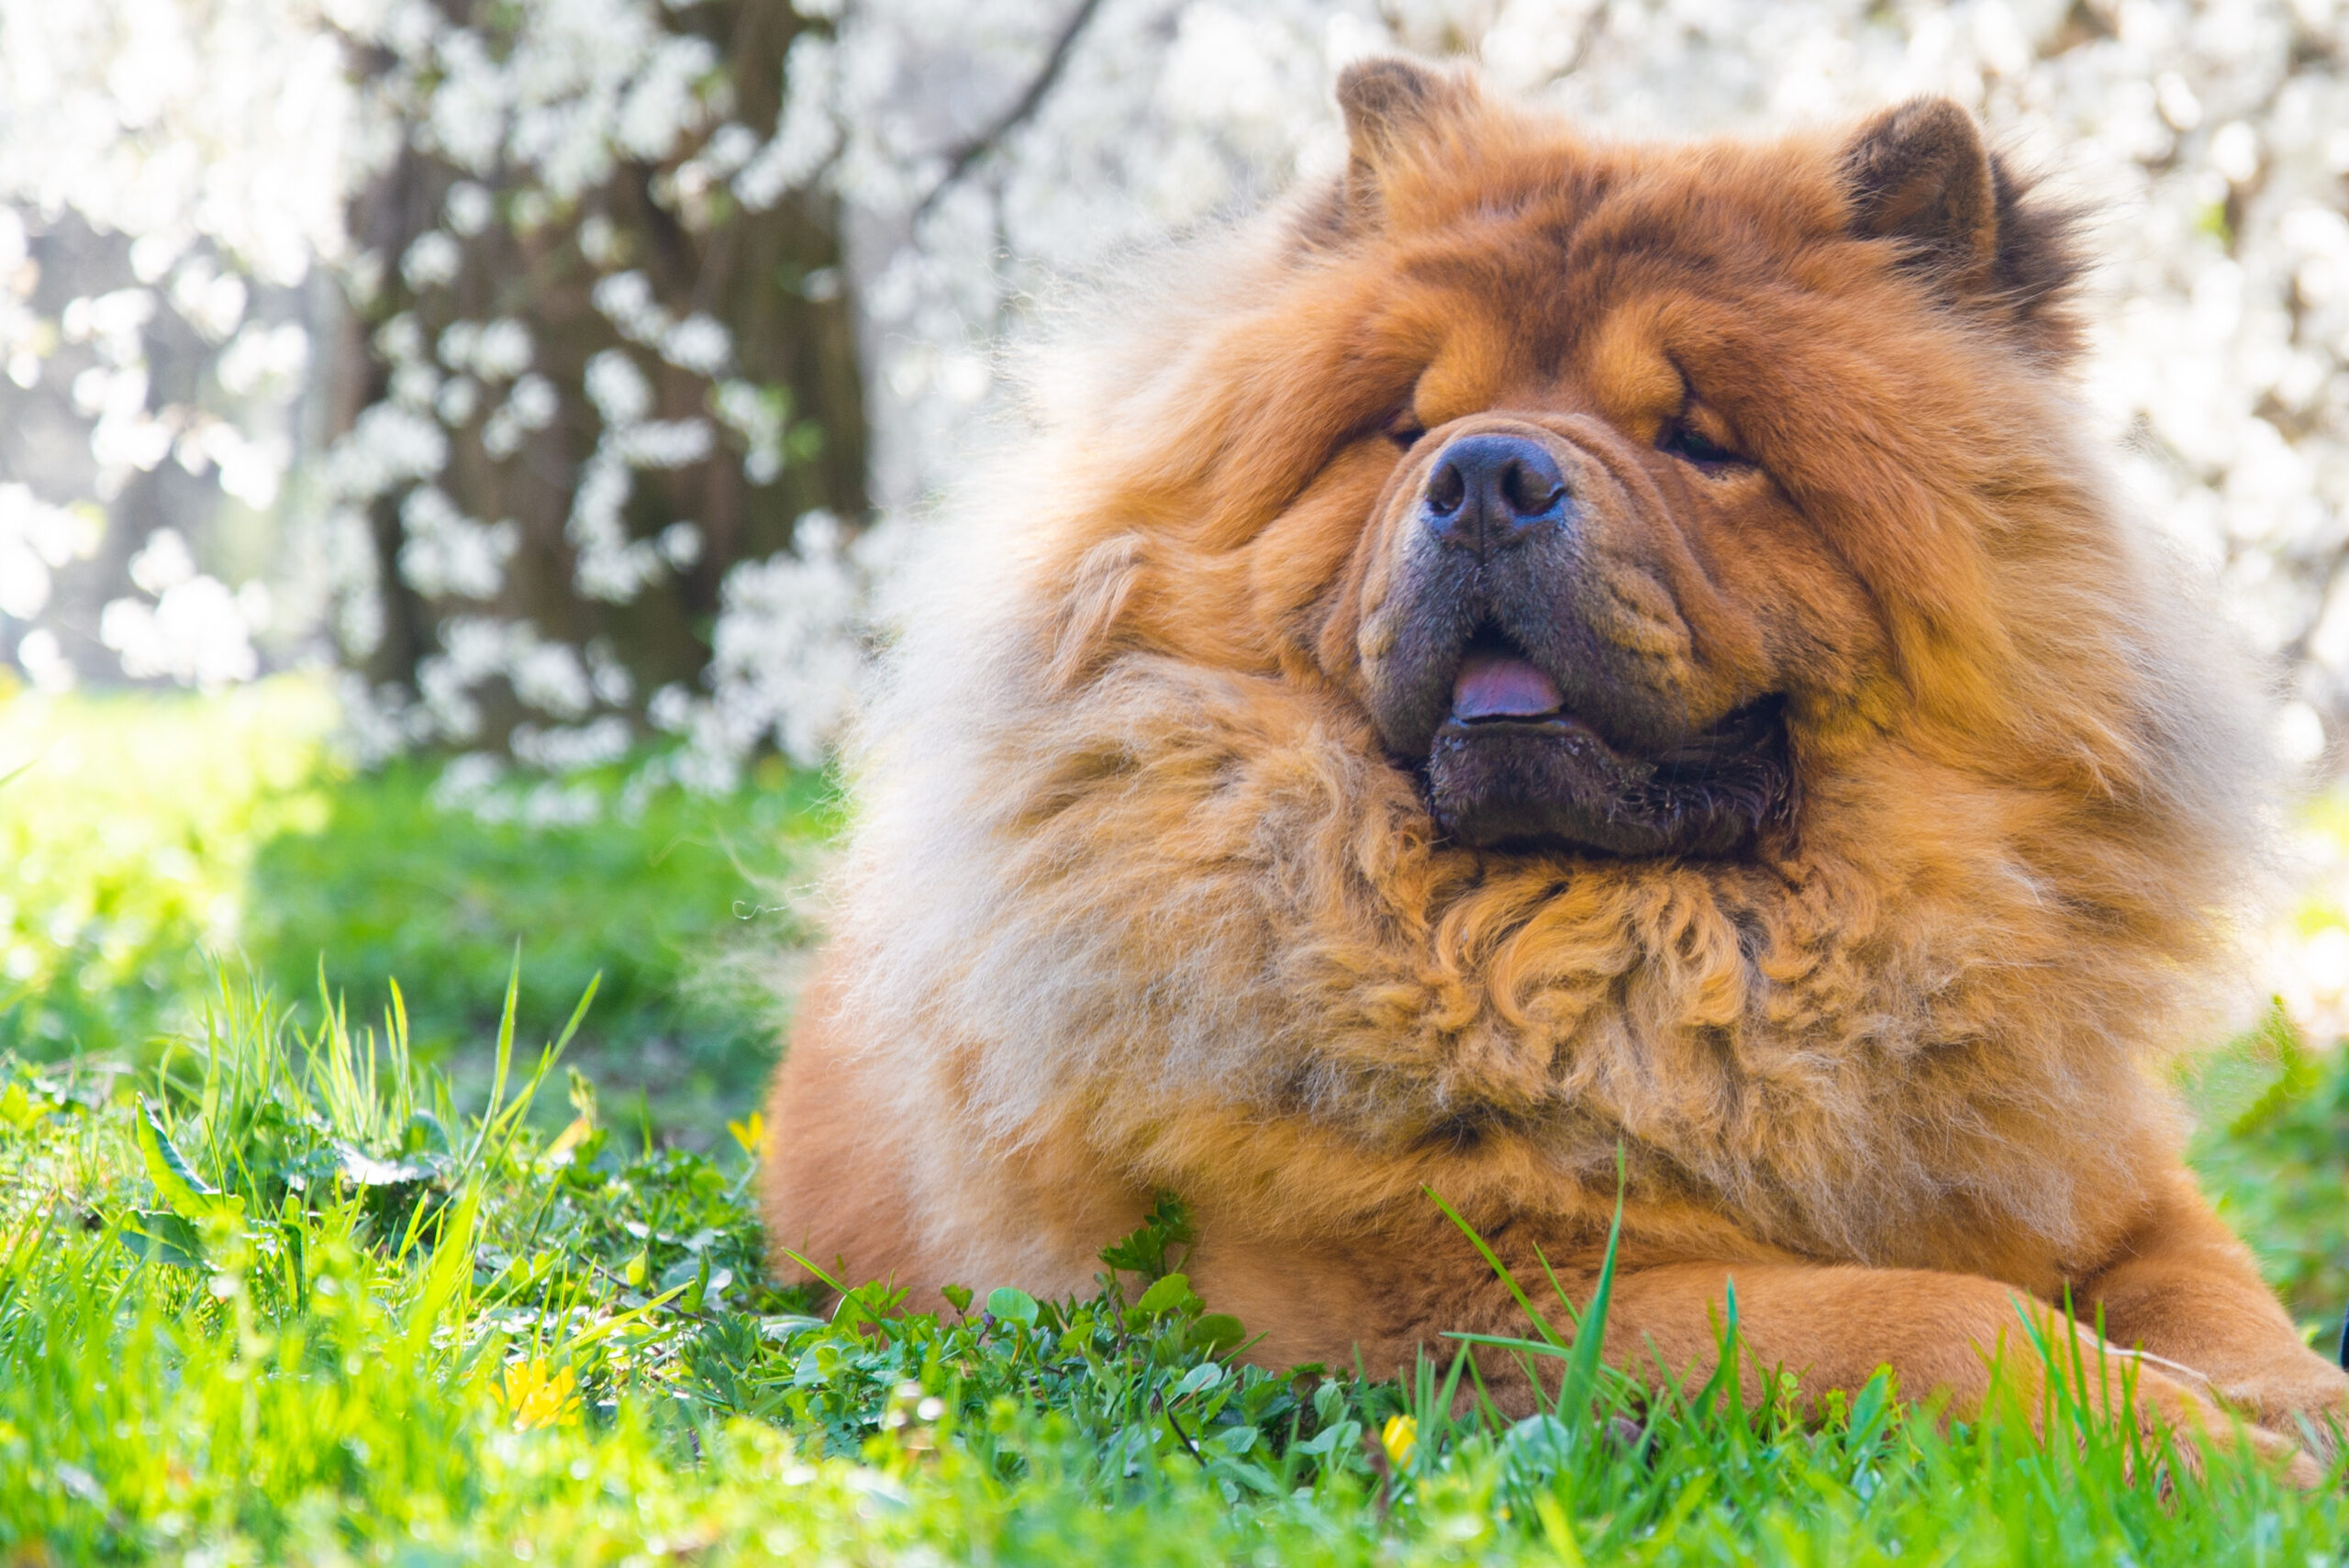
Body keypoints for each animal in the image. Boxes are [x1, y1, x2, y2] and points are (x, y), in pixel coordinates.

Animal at [770, 58, 2349, 1473]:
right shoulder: (1487, 1295)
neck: (1646, 946)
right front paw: (2208, 1450)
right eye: (1405, 425)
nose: (1485, 475)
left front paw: (2285, 1422)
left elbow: (2224, 1298)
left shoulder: (2115, 1186)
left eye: (1701, 439)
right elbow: (1939, 1319)